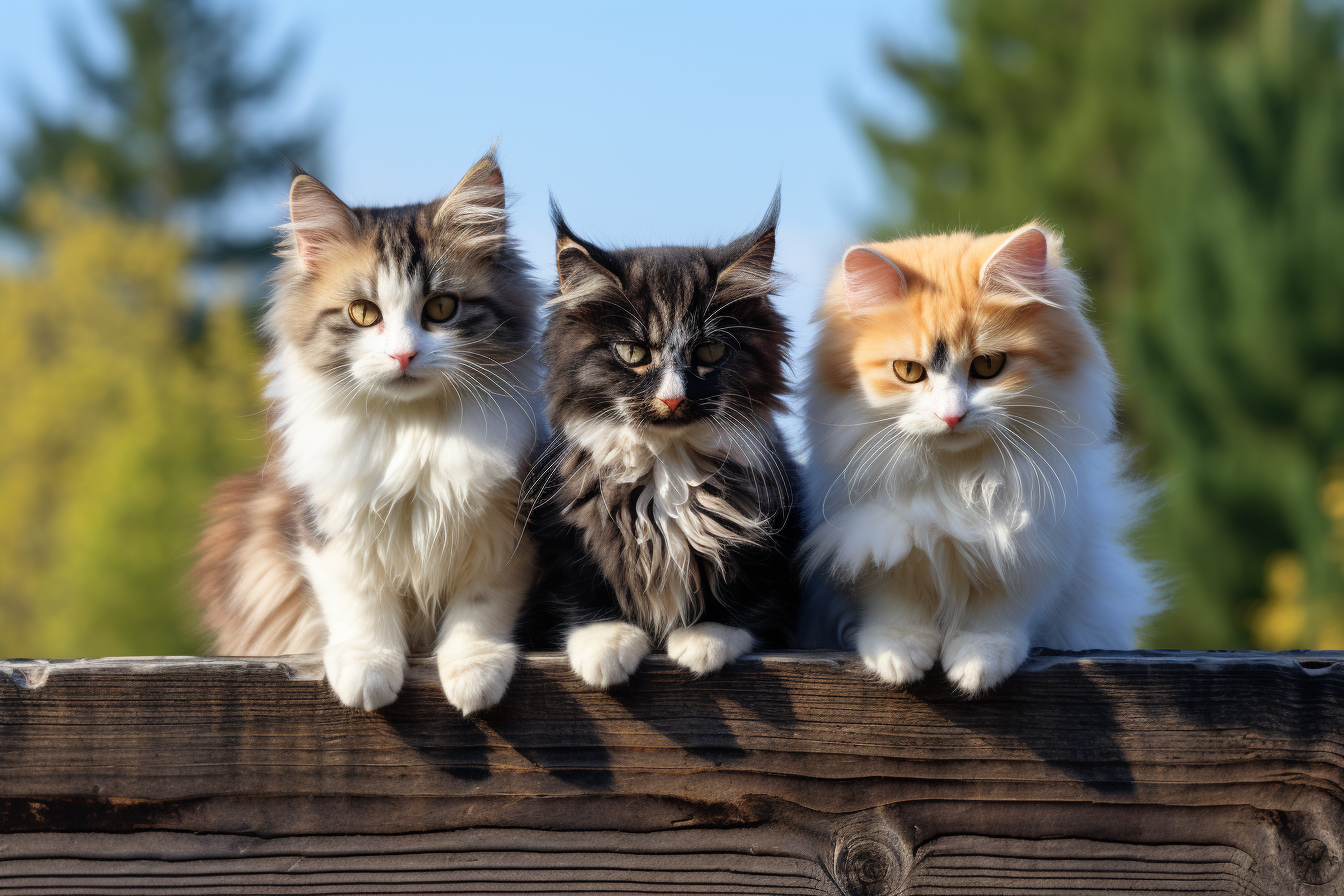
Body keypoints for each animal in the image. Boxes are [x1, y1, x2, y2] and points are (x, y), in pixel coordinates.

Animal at [795, 224, 1155, 693]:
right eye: (908, 372)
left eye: (987, 366)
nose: (952, 415)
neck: (957, 479)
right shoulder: (873, 538)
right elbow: (895, 601)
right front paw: (898, 654)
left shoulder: (1034, 544)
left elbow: (997, 614)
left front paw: (978, 663)